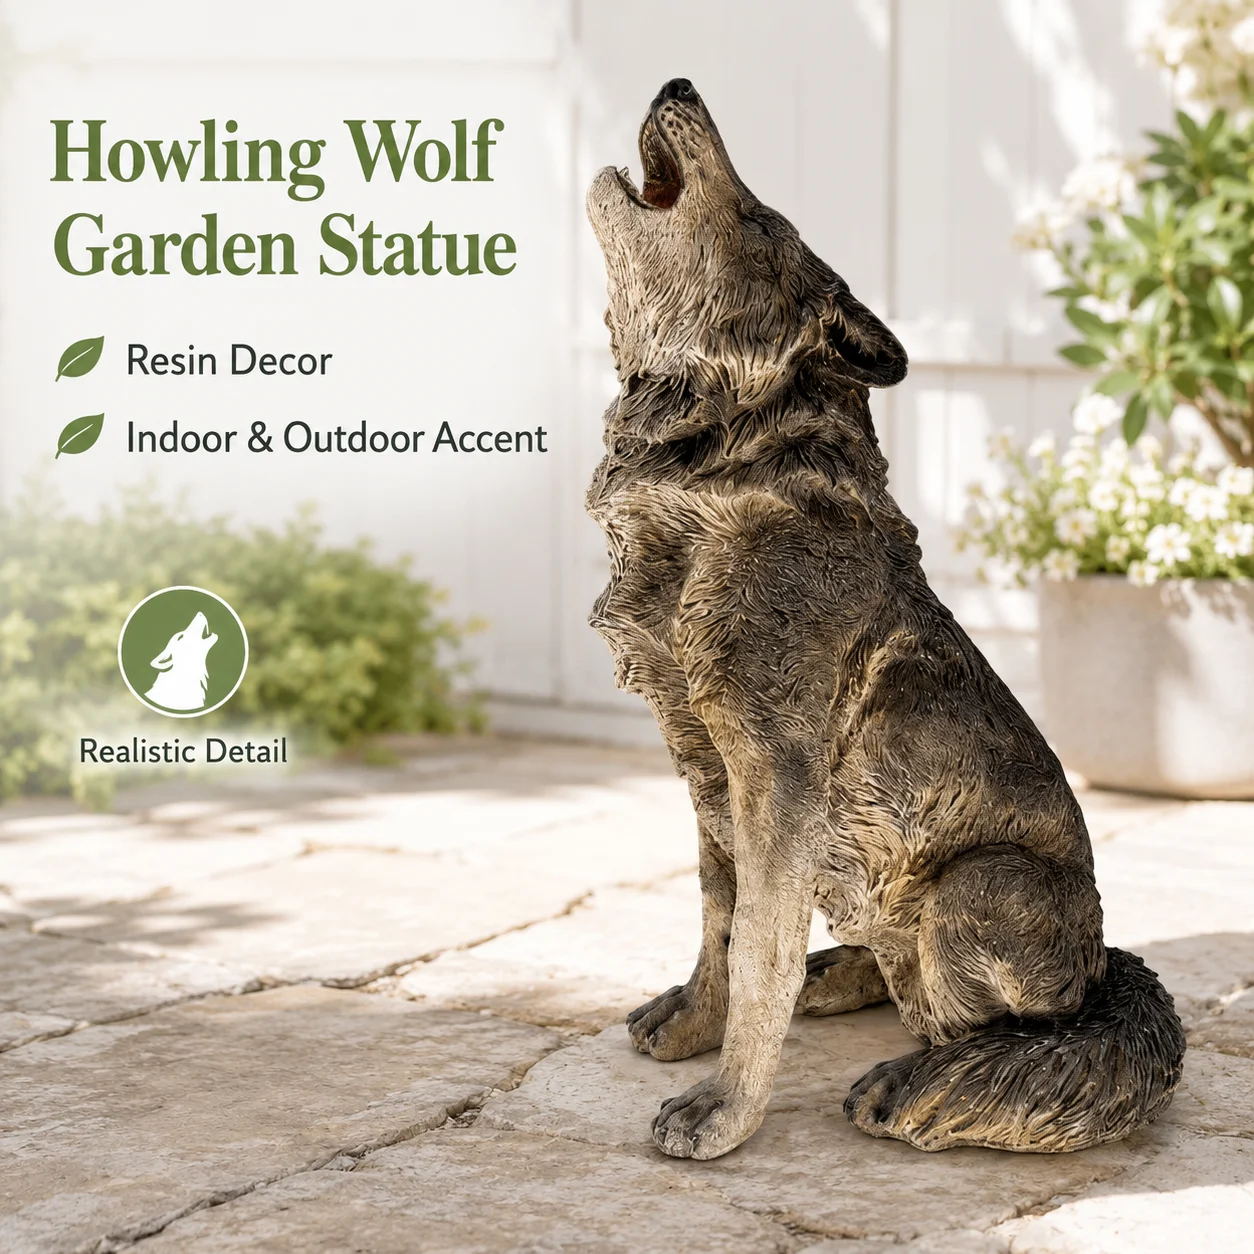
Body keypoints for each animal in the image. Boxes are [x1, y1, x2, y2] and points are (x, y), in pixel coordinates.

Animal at [585, 78, 1185, 1162]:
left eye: (757, 220)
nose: (679, 84)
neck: (720, 465)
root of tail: (1101, 962)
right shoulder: (702, 762)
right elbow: (719, 917)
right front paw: (696, 1022)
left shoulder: (774, 774)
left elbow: (760, 950)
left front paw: (725, 1109)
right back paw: (846, 972)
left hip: (975, 887)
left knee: (1007, 1022)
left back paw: (924, 1070)